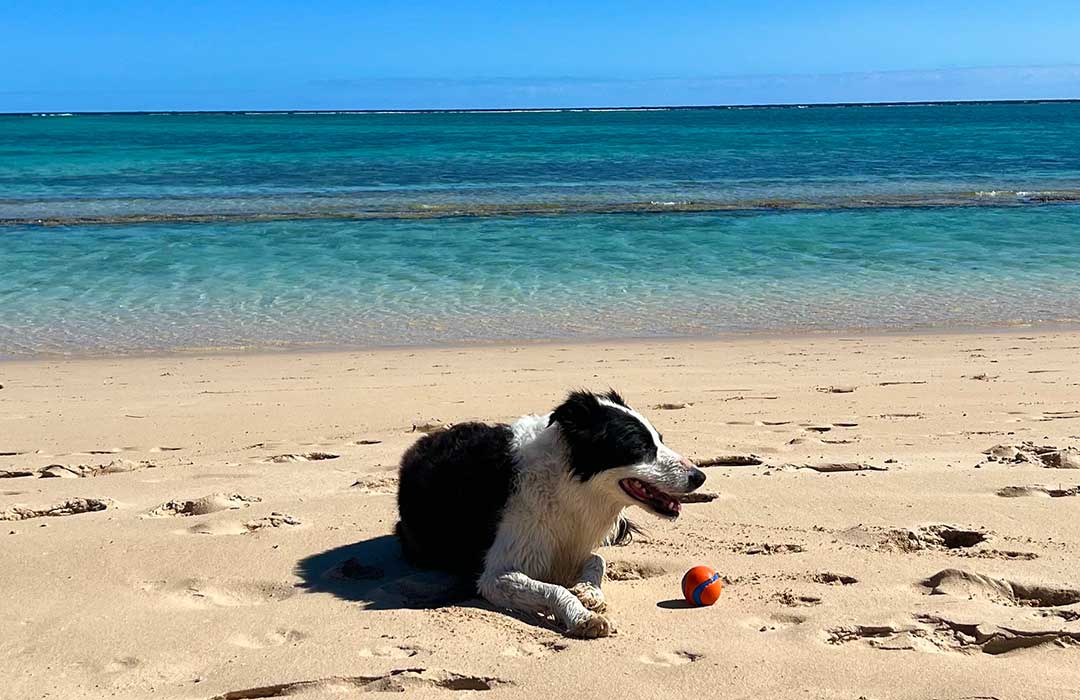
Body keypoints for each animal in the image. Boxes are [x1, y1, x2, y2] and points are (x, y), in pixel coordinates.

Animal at [393, 391, 704, 635]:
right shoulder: (494, 575)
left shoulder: (569, 546)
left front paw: (589, 592)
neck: (567, 485)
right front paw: (583, 618)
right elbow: (553, 589)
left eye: (659, 439)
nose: (700, 477)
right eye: (640, 446)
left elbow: (597, 560)